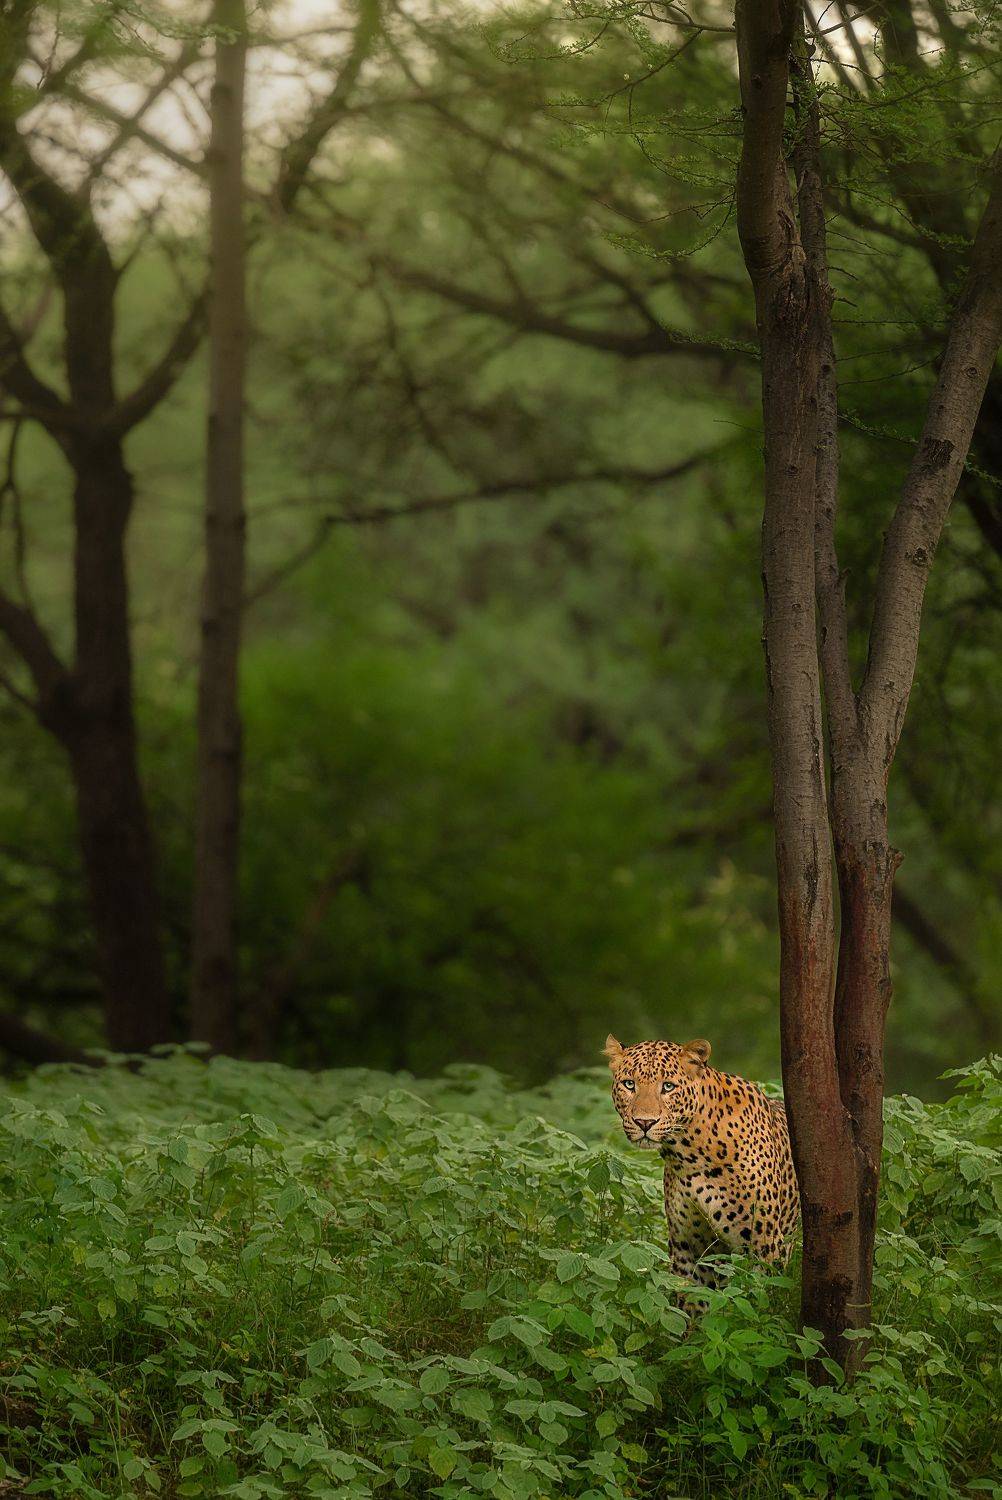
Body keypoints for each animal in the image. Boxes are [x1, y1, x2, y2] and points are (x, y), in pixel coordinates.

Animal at [604, 1034, 799, 1293]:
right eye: (629, 1084)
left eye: (668, 1086)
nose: (644, 1122)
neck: (689, 1155)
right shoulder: (689, 1250)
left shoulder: (765, 1247)